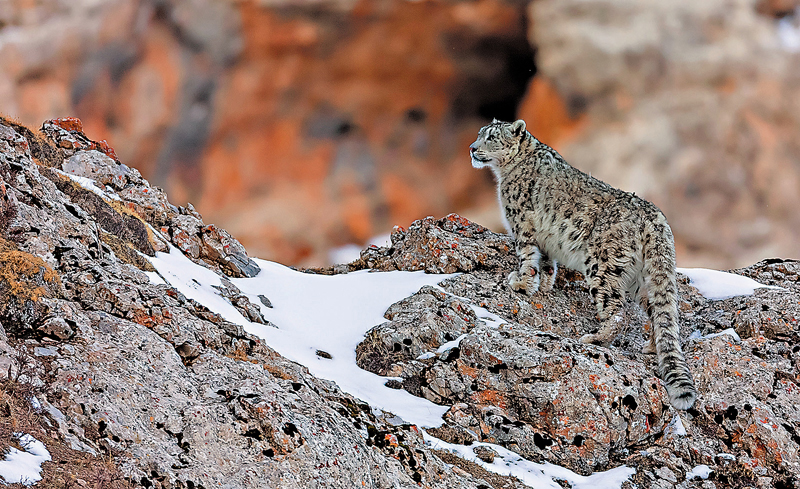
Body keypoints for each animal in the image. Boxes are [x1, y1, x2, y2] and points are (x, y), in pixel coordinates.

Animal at [472, 118, 696, 408]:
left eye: (491, 137)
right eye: (480, 134)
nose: (472, 148)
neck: (505, 173)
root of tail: (655, 216)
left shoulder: (521, 222)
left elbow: (527, 254)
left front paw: (520, 283)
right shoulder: (545, 240)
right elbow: (546, 263)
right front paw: (544, 286)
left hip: (602, 264)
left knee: (618, 311)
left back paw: (596, 339)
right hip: (640, 278)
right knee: (657, 309)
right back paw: (651, 346)